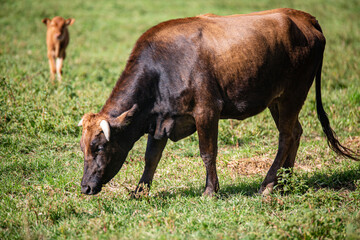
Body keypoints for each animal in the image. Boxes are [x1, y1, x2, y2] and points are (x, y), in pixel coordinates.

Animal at [76, 8, 358, 196]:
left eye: (99, 147)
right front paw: (140, 191)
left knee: (286, 137)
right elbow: (151, 157)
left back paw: (268, 184)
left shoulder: (207, 111)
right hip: (276, 100)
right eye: (83, 148)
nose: (86, 187)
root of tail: (303, 17)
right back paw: (284, 181)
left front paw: (210, 190)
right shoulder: (160, 119)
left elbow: (207, 152)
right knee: (296, 132)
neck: (162, 68)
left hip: (293, 94)